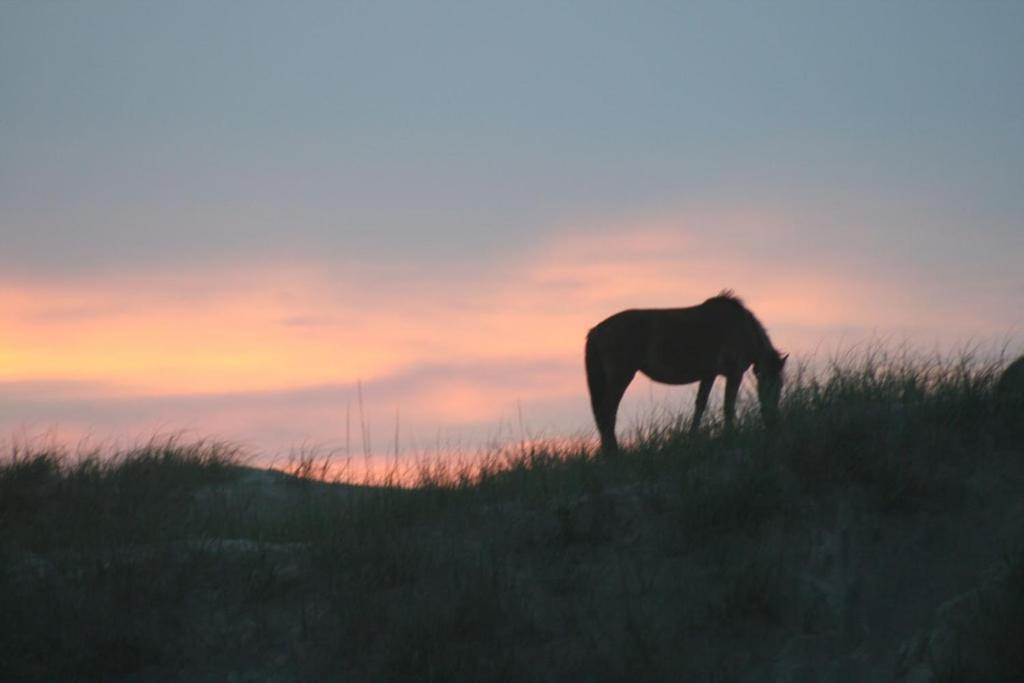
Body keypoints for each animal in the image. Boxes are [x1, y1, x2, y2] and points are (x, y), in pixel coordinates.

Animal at [581, 290, 786, 450]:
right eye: (776, 385)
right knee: (607, 412)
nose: (773, 420)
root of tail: (596, 330)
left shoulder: (709, 375)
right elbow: (728, 406)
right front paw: (730, 435)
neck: (742, 328)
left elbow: (700, 405)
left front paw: (692, 437)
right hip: (621, 377)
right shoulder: (733, 374)